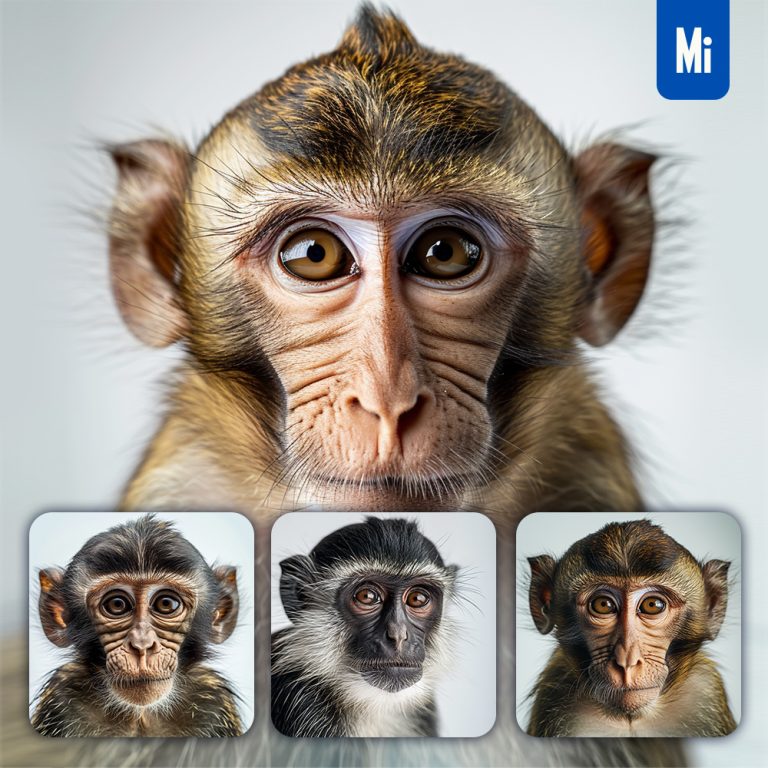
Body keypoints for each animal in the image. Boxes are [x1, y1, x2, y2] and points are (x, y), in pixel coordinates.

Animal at [30, 515, 243, 737]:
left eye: (166, 604)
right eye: (117, 604)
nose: (142, 645)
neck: (140, 714)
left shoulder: (213, 701)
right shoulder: (61, 697)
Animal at [526, 519, 737, 737]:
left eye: (652, 605)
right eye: (603, 605)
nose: (627, 661)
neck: (630, 719)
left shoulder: (705, 691)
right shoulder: (555, 697)